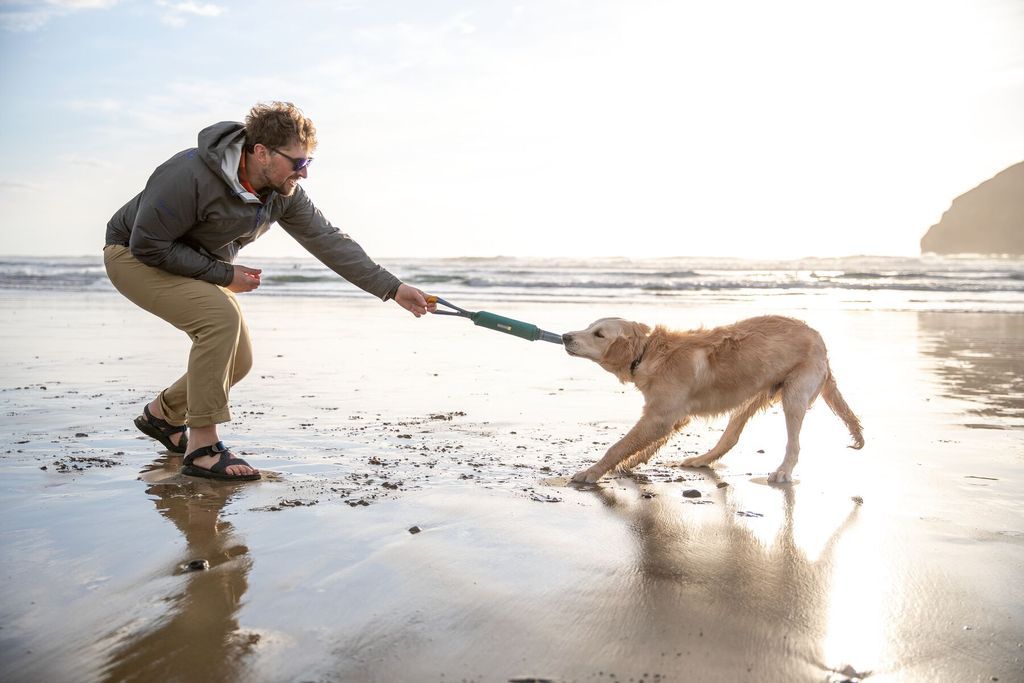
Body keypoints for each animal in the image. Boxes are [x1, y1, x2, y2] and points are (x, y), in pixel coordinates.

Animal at [561, 317, 864, 483]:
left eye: (599, 334)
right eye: (589, 326)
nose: (564, 335)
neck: (648, 352)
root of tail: (820, 340)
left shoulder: (659, 417)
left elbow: (618, 446)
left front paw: (592, 472)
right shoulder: (670, 414)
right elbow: (647, 444)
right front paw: (632, 461)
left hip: (794, 394)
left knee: (794, 444)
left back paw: (783, 472)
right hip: (748, 398)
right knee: (730, 438)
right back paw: (701, 460)